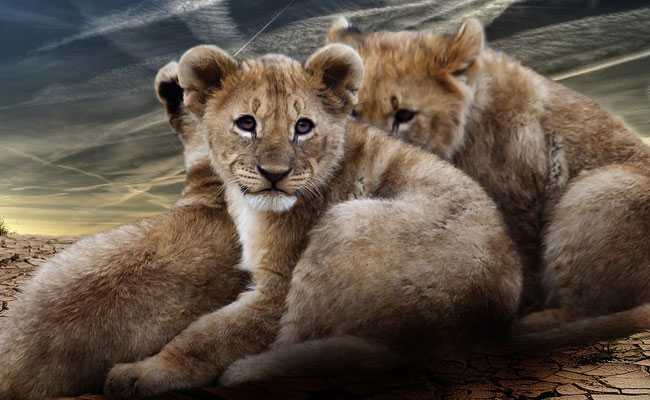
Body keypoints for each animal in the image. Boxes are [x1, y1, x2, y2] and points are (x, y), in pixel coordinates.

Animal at [102, 43, 522, 398]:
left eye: (302, 126)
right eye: (246, 123)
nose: (274, 174)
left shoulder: (277, 288)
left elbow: (208, 334)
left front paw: (144, 372)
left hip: (347, 221)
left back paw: (249, 372)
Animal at [328, 17, 650, 336]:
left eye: (404, 115)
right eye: (354, 112)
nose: (370, 146)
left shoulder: (518, 204)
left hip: (598, 190)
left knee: (589, 308)